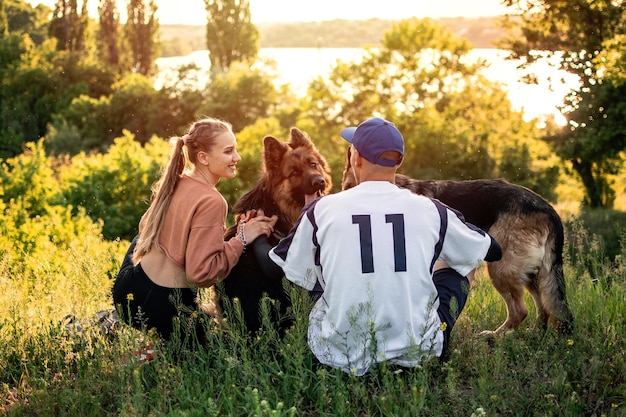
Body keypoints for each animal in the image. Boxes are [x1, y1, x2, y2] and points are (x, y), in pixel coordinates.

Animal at [342, 147, 572, 334]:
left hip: (500, 268)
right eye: (345, 187)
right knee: (544, 305)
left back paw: (496, 336)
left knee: (520, 311)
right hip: (530, 272)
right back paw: (534, 333)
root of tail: (548, 208)